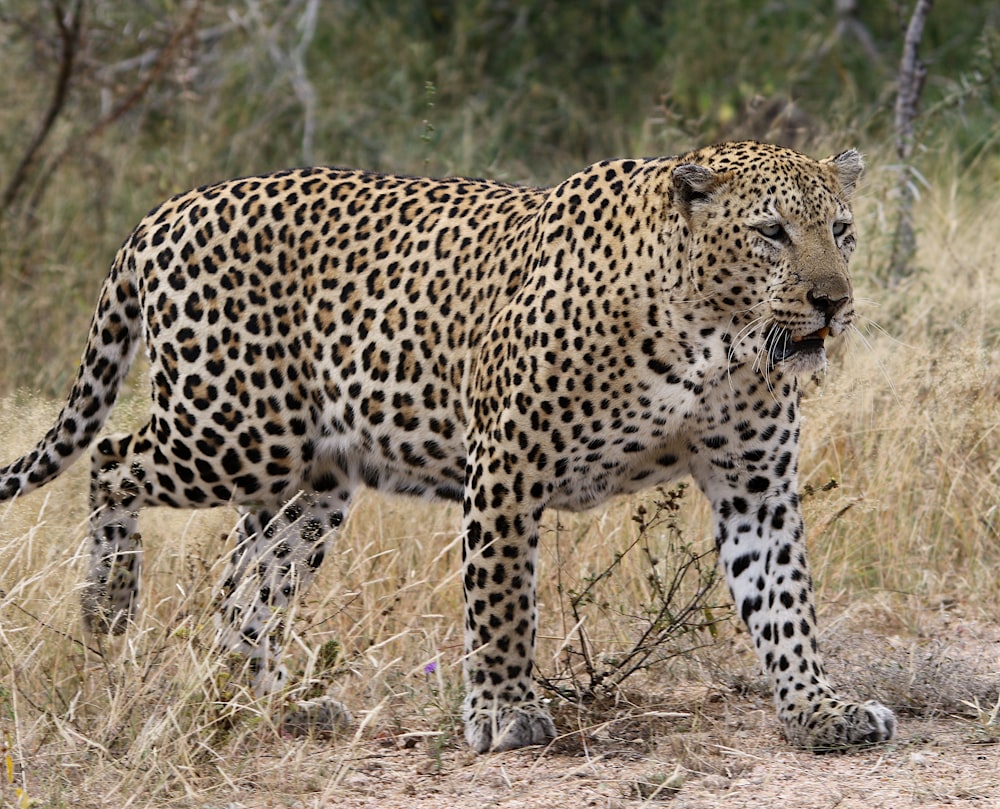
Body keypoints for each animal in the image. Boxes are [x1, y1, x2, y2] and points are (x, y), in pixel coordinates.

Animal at [0, 139, 900, 752]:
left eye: (842, 229)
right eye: (772, 231)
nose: (834, 302)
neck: (716, 339)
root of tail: (164, 210)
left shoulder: (755, 481)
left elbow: (785, 601)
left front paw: (820, 709)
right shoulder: (509, 461)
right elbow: (502, 600)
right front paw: (504, 712)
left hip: (312, 474)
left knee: (244, 582)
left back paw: (270, 703)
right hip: (237, 428)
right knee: (114, 461)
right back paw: (109, 602)